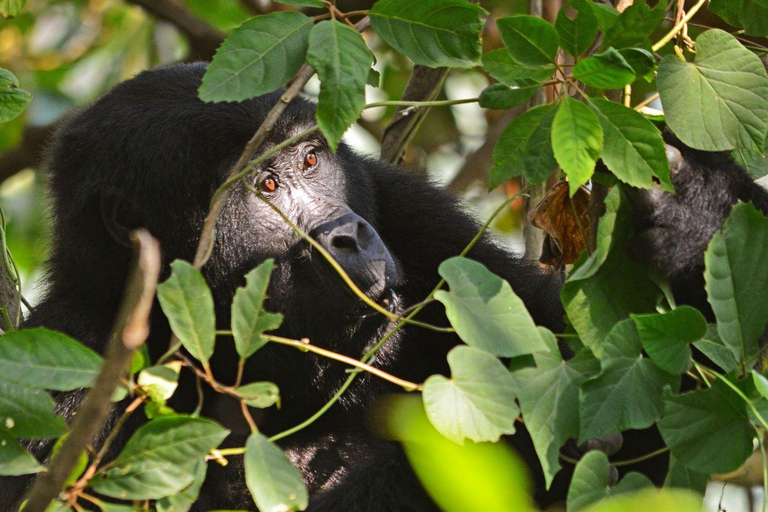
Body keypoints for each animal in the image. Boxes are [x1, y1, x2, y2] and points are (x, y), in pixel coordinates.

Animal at [6, 62, 768, 510]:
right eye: (266, 187)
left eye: (311, 161)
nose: (348, 235)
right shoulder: (67, 382)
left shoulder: (410, 214)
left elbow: (636, 422)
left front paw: (697, 216)